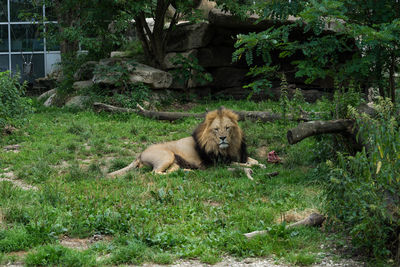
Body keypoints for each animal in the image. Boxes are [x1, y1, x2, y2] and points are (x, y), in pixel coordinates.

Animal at [108, 107, 266, 178]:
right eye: (216, 129)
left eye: (227, 128)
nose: (222, 138)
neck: (228, 147)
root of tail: (140, 154)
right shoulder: (219, 163)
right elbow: (242, 164)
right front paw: (255, 166)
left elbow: (252, 160)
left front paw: (260, 164)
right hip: (167, 156)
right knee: (155, 173)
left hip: (174, 162)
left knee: (171, 171)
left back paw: (188, 171)